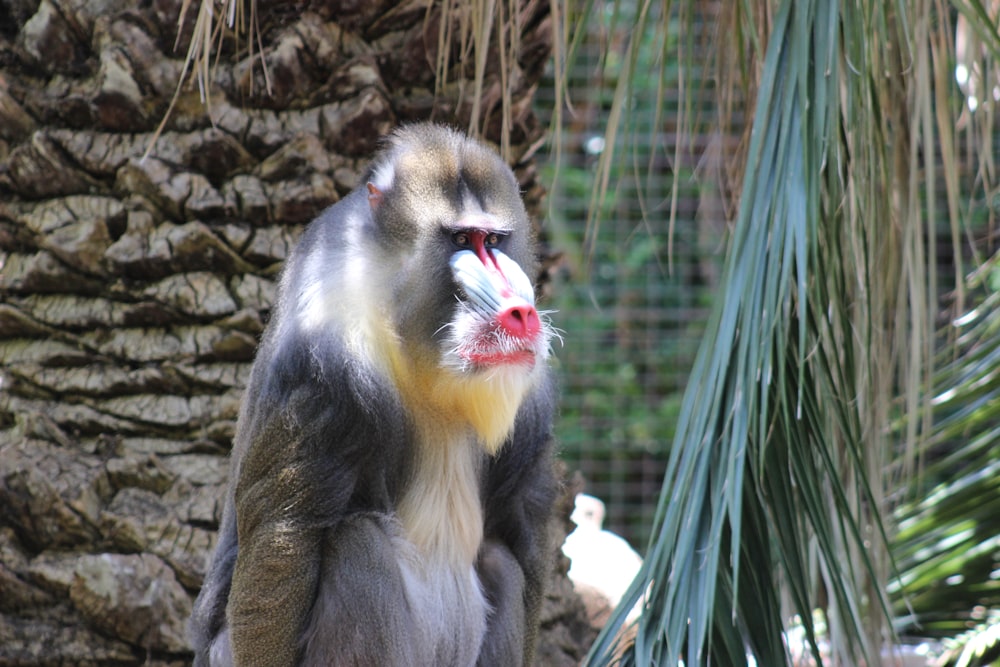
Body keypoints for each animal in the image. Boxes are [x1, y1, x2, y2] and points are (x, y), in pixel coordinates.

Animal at [189, 125, 564, 667]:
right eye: (461, 239)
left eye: (493, 240)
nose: (521, 312)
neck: (422, 352)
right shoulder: (323, 370)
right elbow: (283, 540)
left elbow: (522, 537)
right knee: (357, 540)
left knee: (501, 561)